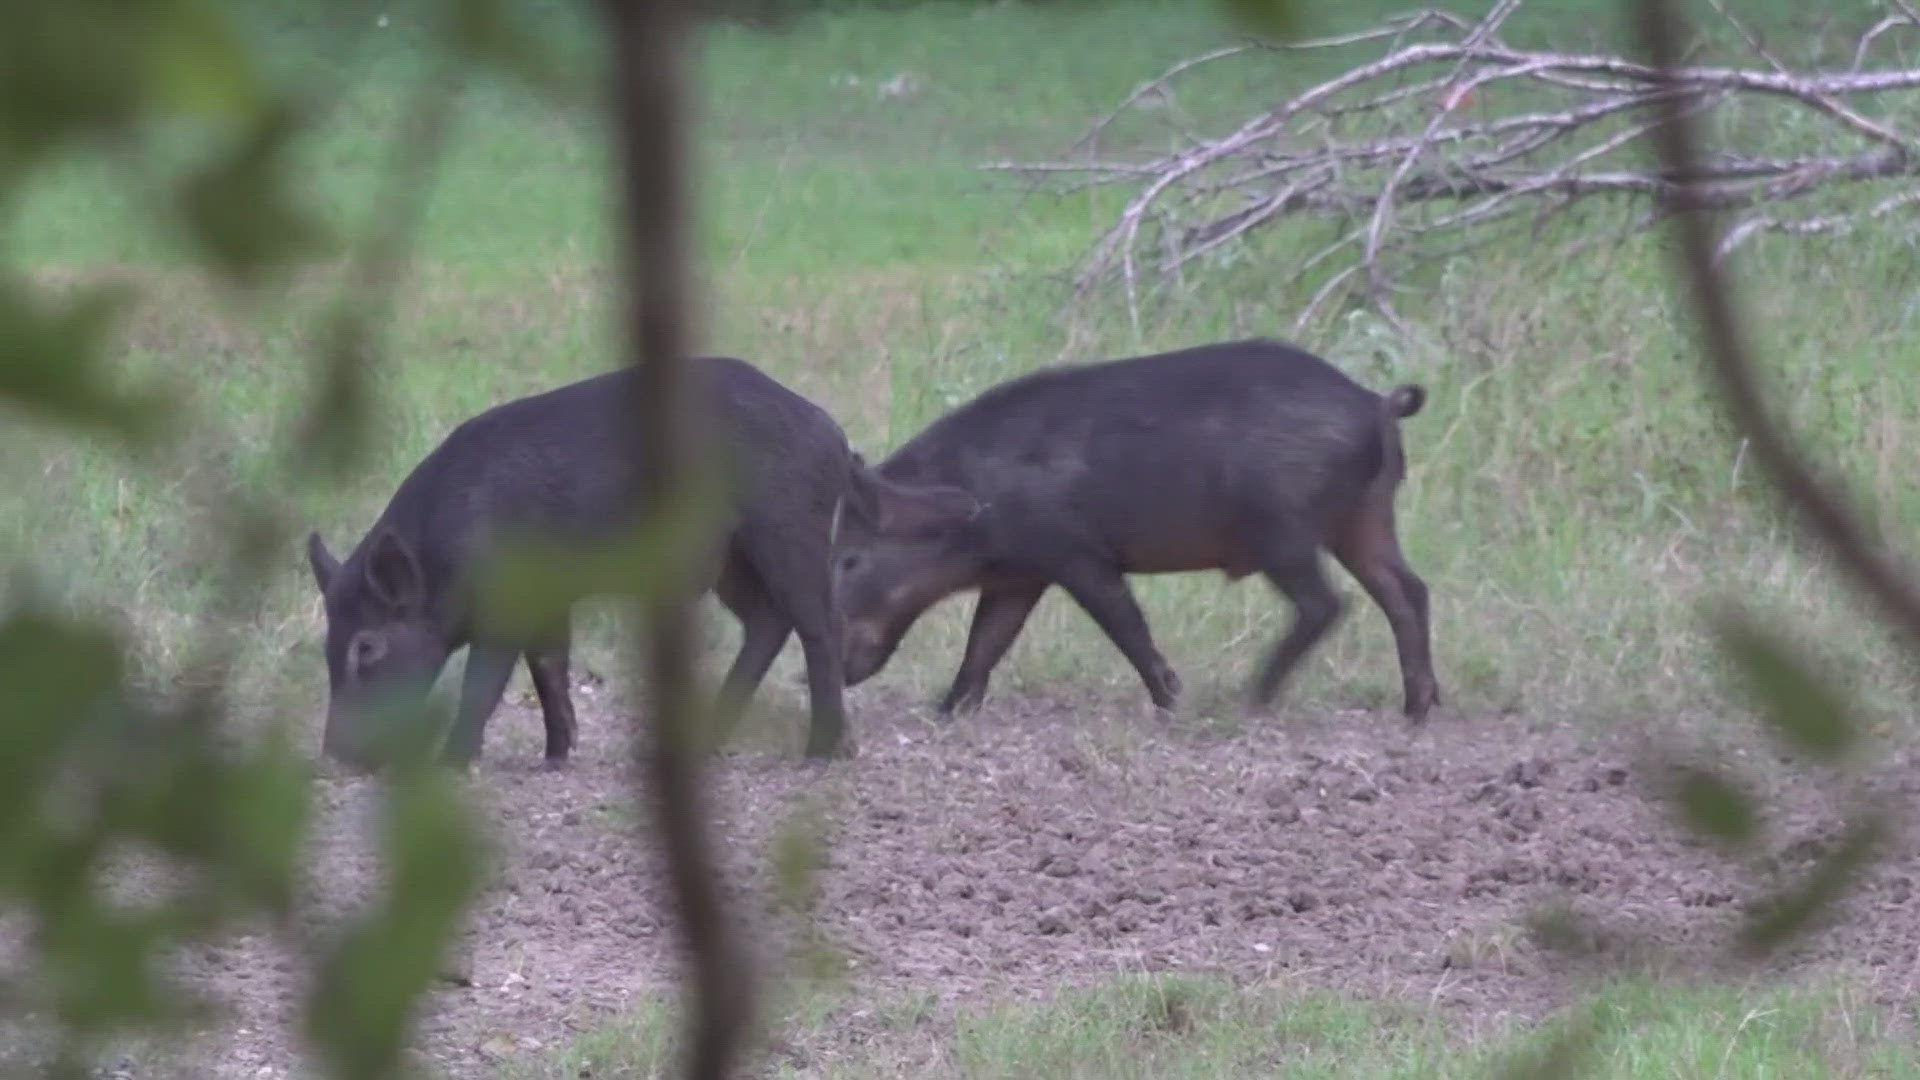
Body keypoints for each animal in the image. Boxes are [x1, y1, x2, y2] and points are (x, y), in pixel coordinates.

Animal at [303, 357, 948, 768]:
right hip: (732, 561)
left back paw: (822, 754)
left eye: (366, 646)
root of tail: (832, 431)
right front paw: (558, 755)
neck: (441, 557)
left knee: (819, 624)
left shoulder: (508, 603)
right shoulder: (551, 597)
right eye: (328, 646)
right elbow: (550, 664)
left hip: (787, 529)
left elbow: (485, 680)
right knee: (768, 623)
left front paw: (452, 763)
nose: (333, 756)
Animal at [829, 334, 1443, 722]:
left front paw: (1173, 702)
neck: (974, 504)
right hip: (1365, 518)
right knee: (1406, 590)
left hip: (1285, 531)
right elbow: (986, 642)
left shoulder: (1078, 556)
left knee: (1327, 604)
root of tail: (1375, 403)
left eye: (849, 560)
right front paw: (945, 712)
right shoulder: (1019, 576)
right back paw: (1417, 710)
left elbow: (1125, 626)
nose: (830, 672)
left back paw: (1248, 700)